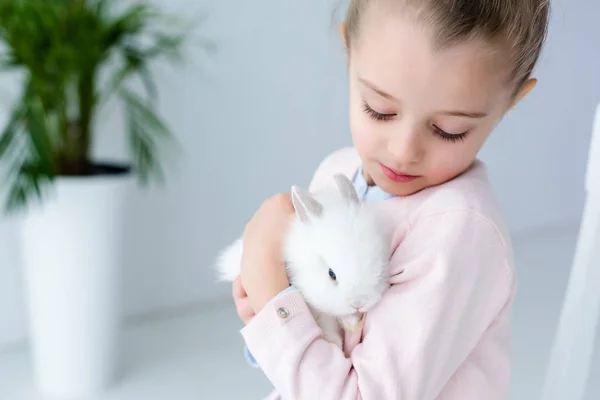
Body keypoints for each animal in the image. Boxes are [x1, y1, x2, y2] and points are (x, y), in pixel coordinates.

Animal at [214, 174, 390, 346]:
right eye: (331, 274)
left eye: (376, 261)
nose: (358, 303)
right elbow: (326, 319)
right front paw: (335, 339)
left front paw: (352, 322)